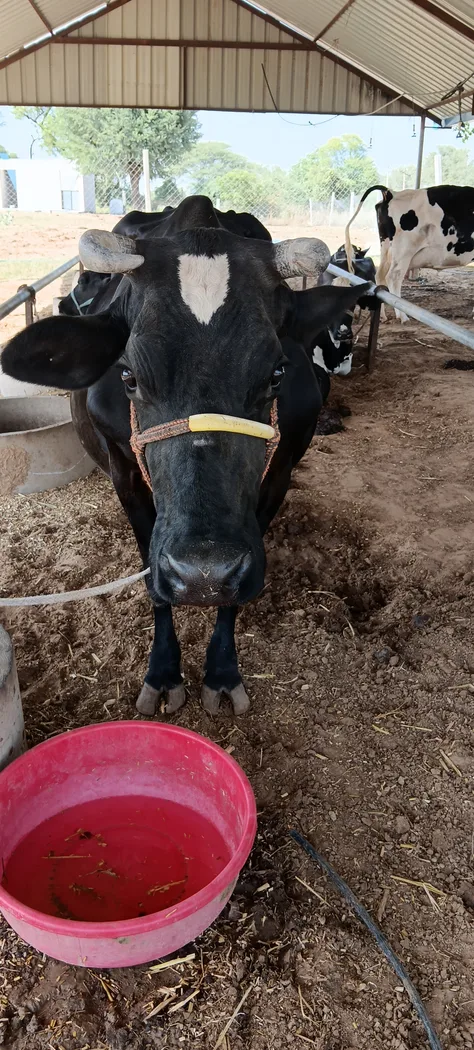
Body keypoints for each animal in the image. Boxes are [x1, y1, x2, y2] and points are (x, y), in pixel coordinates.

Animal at [3, 196, 373, 719]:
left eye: (277, 373)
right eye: (129, 376)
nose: (203, 574)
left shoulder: (280, 474)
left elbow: (234, 595)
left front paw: (221, 672)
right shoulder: (125, 474)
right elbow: (153, 580)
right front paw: (162, 672)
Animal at [345, 183, 474, 322]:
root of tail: (391, 193)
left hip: (386, 249)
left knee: (380, 275)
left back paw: (383, 316)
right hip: (404, 249)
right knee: (393, 276)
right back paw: (403, 316)